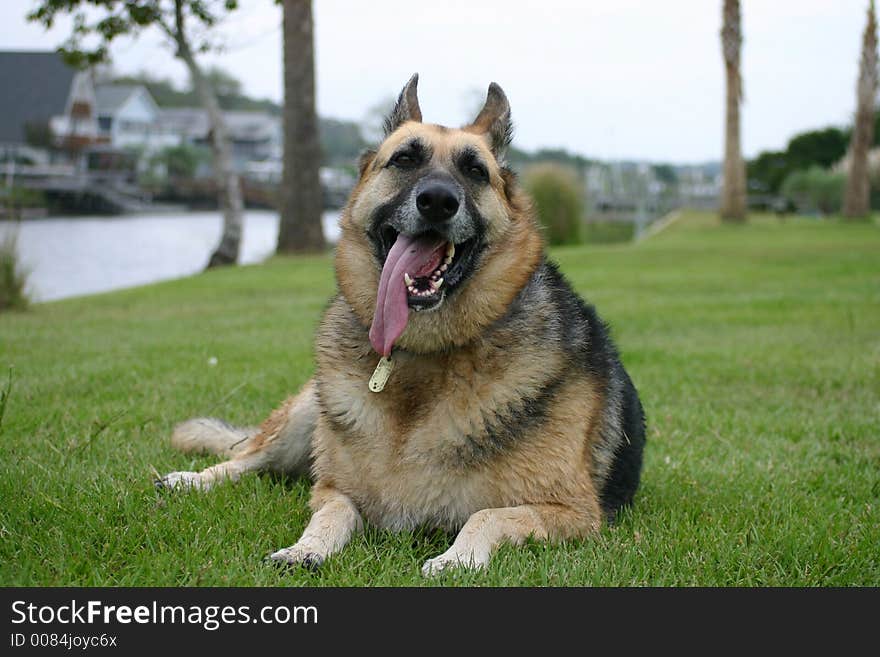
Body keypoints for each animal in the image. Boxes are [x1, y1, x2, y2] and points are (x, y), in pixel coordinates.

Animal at [158, 74, 644, 572]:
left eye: (475, 171)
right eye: (405, 159)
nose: (438, 201)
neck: (422, 356)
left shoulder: (574, 513)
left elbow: (487, 515)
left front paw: (455, 560)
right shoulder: (332, 490)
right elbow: (329, 514)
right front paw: (305, 548)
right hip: (304, 416)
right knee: (248, 457)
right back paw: (191, 479)